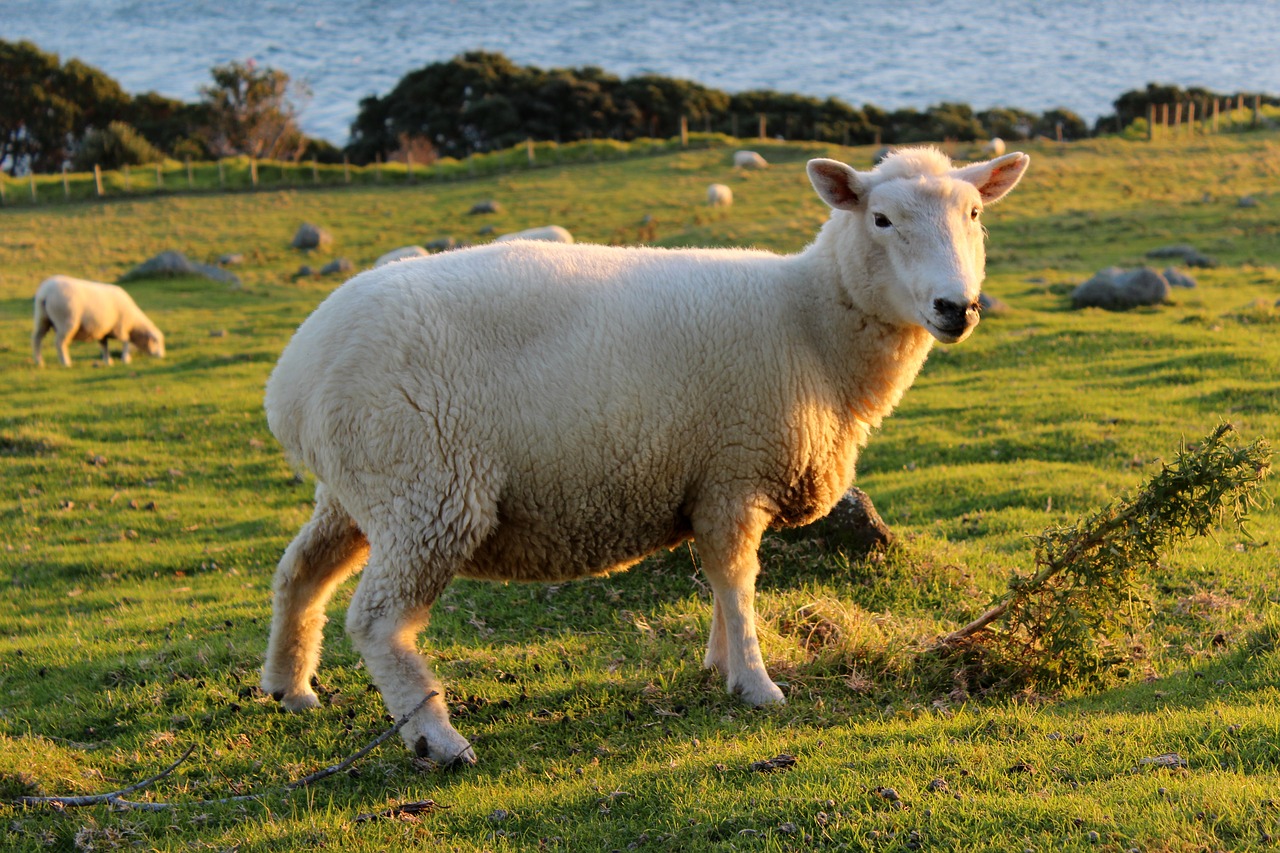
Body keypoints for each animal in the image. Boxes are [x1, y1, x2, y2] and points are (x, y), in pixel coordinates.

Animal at [31, 272, 166, 366]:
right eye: (157, 342)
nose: (163, 356)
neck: (134, 324)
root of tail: (45, 292)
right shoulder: (120, 327)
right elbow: (126, 341)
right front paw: (125, 359)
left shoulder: (103, 331)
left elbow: (104, 346)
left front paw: (108, 361)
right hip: (66, 320)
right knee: (60, 342)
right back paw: (66, 362)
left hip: (42, 318)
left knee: (37, 339)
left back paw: (39, 362)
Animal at [259, 144, 1029, 763]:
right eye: (881, 220)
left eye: (974, 214)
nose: (956, 307)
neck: (810, 322)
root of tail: (292, 379)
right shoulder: (735, 470)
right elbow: (738, 580)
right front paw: (756, 682)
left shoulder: (710, 481)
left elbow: (721, 583)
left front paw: (719, 664)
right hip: (427, 487)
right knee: (377, 620)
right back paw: (437, 739)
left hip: (366, 490)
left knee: (301, 571)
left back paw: (288, 686)